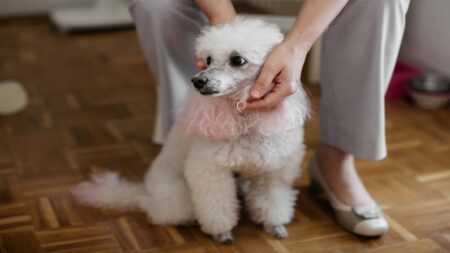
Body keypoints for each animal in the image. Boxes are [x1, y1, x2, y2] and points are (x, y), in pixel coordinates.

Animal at [73, 17, 310, 243]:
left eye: (237, 60)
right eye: (208, 59)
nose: (197, 80)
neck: (245, 122)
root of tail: (144, 192)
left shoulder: (274, 170)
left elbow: (272, 201)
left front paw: (273, 225)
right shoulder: (210, 171)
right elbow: (217, 205)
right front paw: (222, 233)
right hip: (176, 197)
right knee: (160, 212)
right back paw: (185, 220)